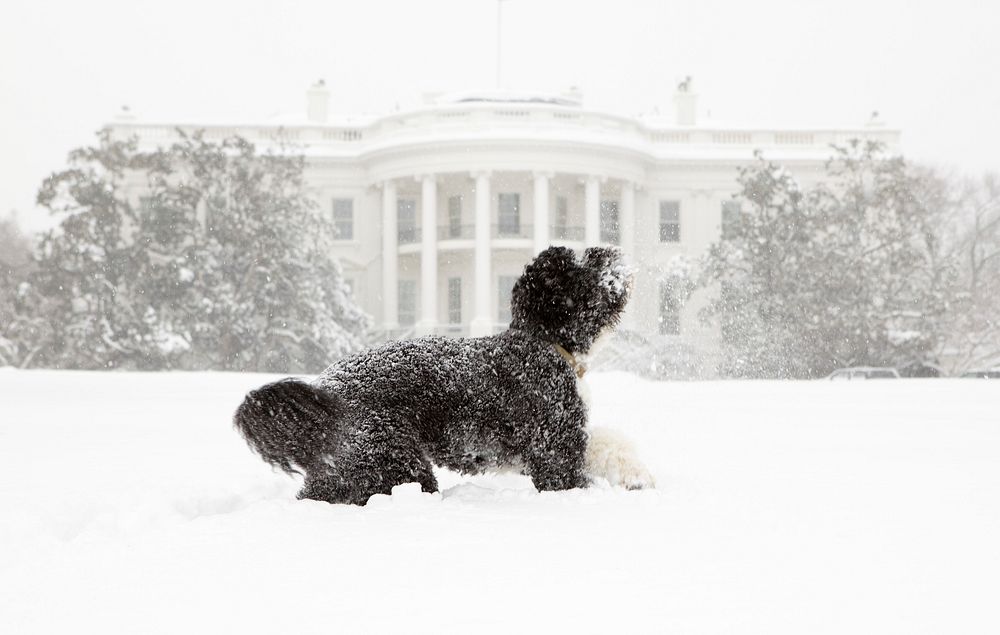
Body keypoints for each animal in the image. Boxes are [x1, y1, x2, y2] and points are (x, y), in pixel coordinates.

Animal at [234, 246, 656, 504]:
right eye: (581, 267)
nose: (608, 250)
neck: (542, 341)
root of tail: (325, 392)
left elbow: (606, 442)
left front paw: (634, 473)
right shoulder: (552, 444)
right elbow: (567, 474)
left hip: (347, 467)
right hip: (391, 460)